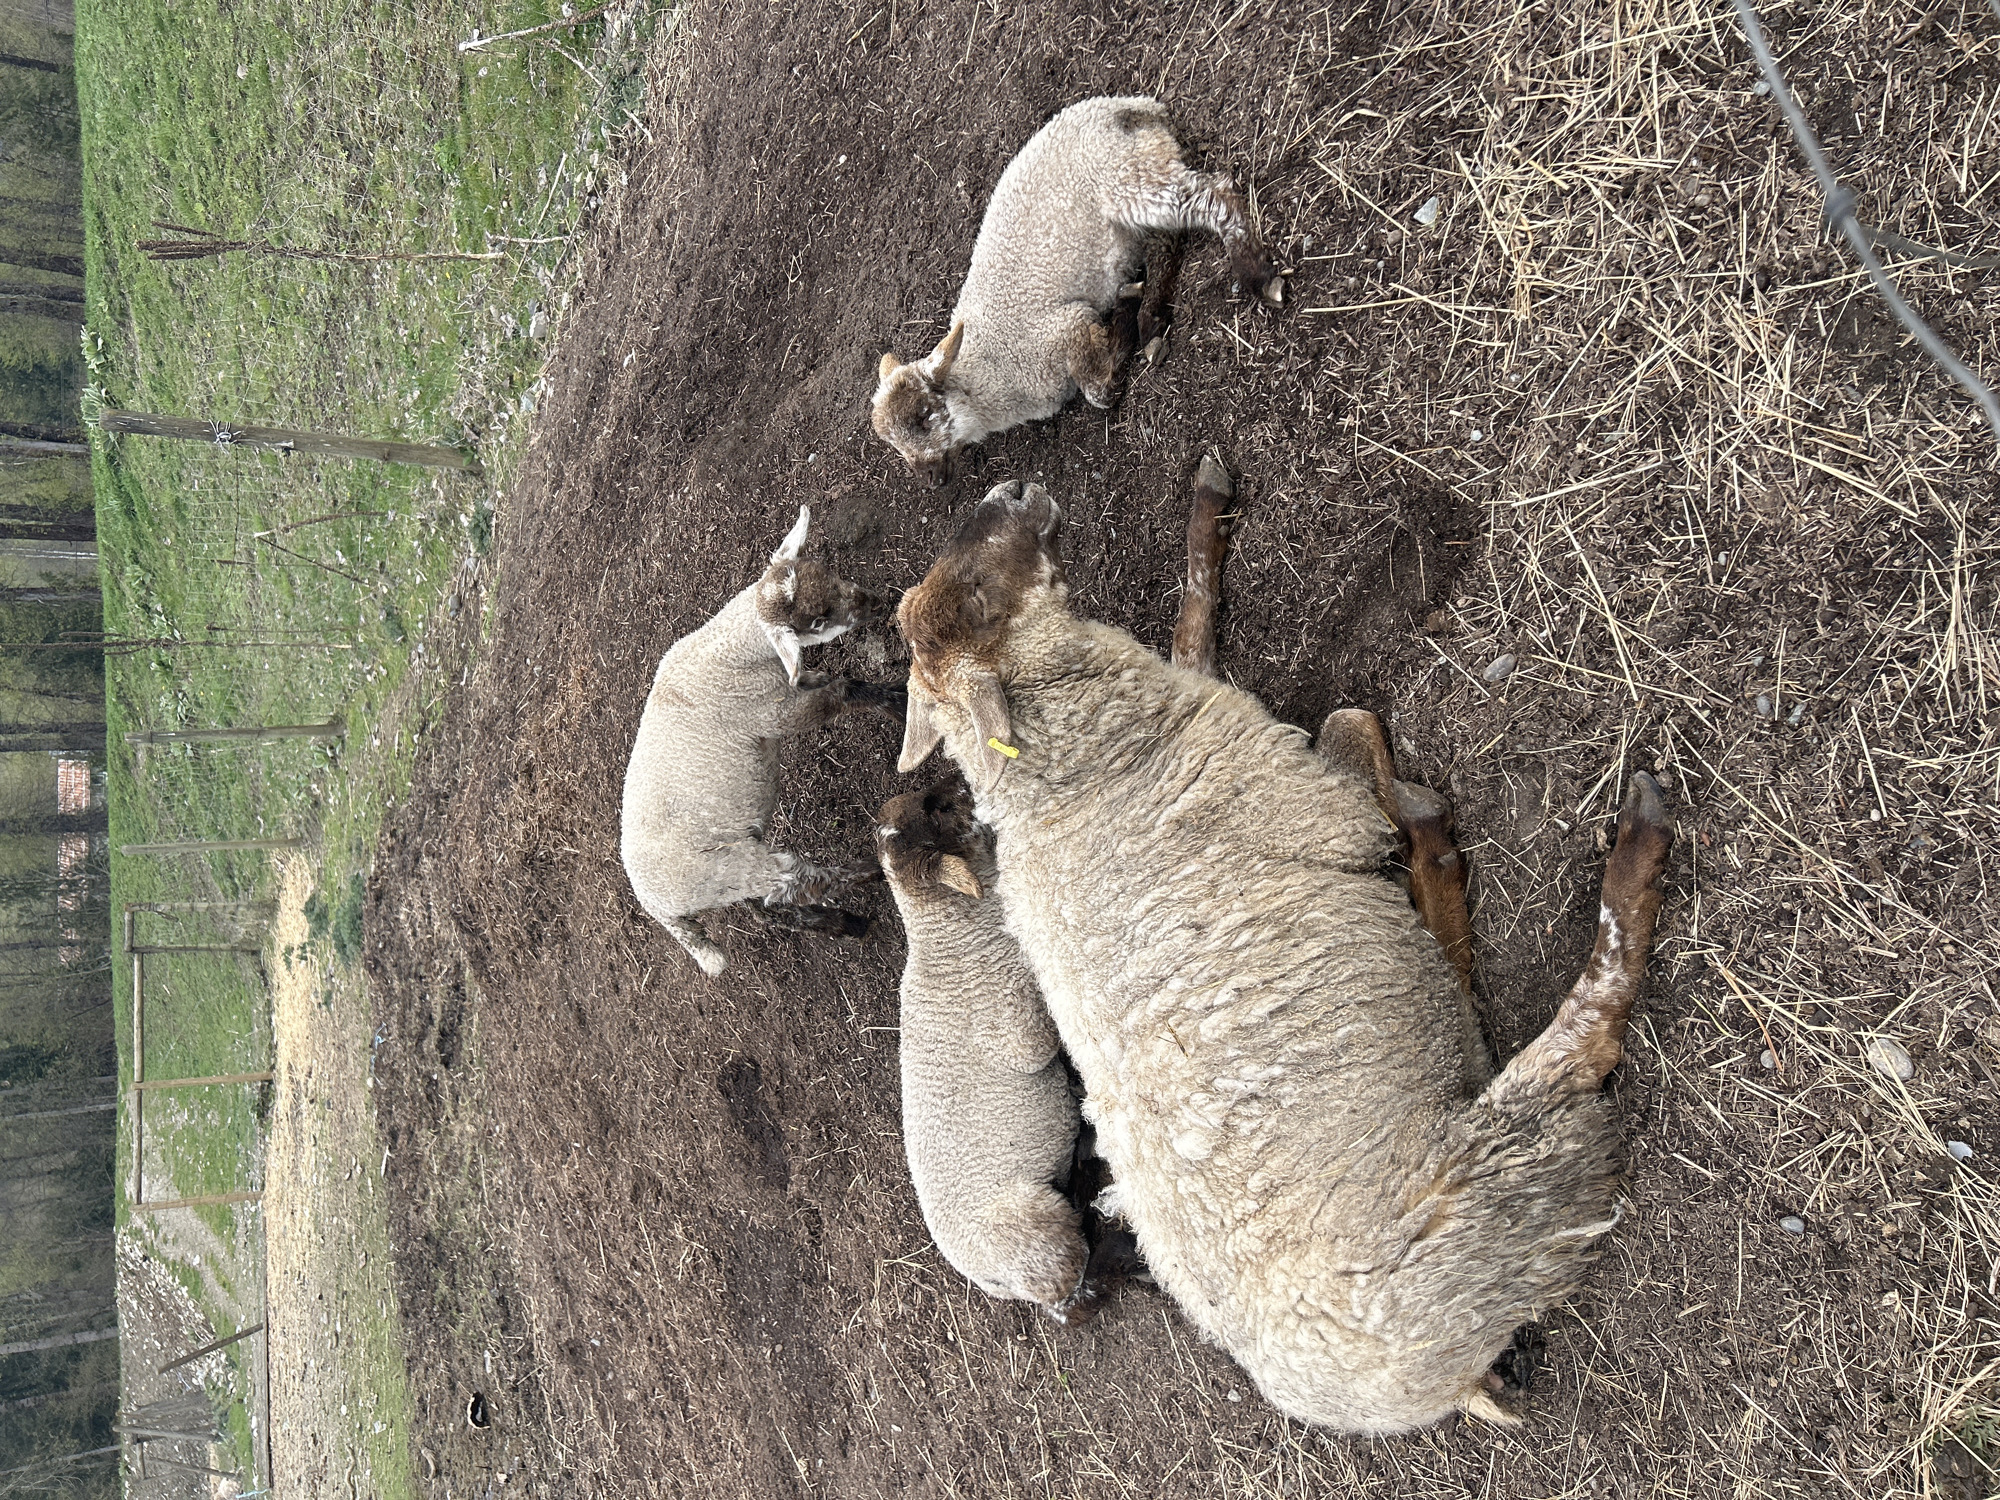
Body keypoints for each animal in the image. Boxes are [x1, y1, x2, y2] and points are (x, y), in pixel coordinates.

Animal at [620, 507, 897, 978]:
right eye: (817, 620)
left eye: (829, 571)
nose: (876, 604)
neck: (728, 651)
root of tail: (657, 907)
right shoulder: (776, 714)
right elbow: (845, 691)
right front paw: (898, 702)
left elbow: (825, 680)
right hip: (730, 868)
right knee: (794, 884)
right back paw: (871, 871)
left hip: (725, 880)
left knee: (767, 909)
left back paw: (844, 924)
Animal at [871, 95, 1283, 481]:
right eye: (891, 443)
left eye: (924, 415)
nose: (929, 479)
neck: (990, 372)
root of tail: (1127, 106)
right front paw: (1129, 303)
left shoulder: (1064, 327)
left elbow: (1099, 394)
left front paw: (1121, 321)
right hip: (1142, 172)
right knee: (1169, 234)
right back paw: (1151, 315)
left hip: (1126, 175)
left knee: (1214, 194)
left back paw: (1258, 276)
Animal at [875, 779, 1104, 1322]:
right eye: (938, 808)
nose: (963, 782)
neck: (955, 944)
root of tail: (992, 1282)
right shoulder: (1019, 1030)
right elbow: (1043, 1042)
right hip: (1042, 1237)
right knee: (1074, 1294)